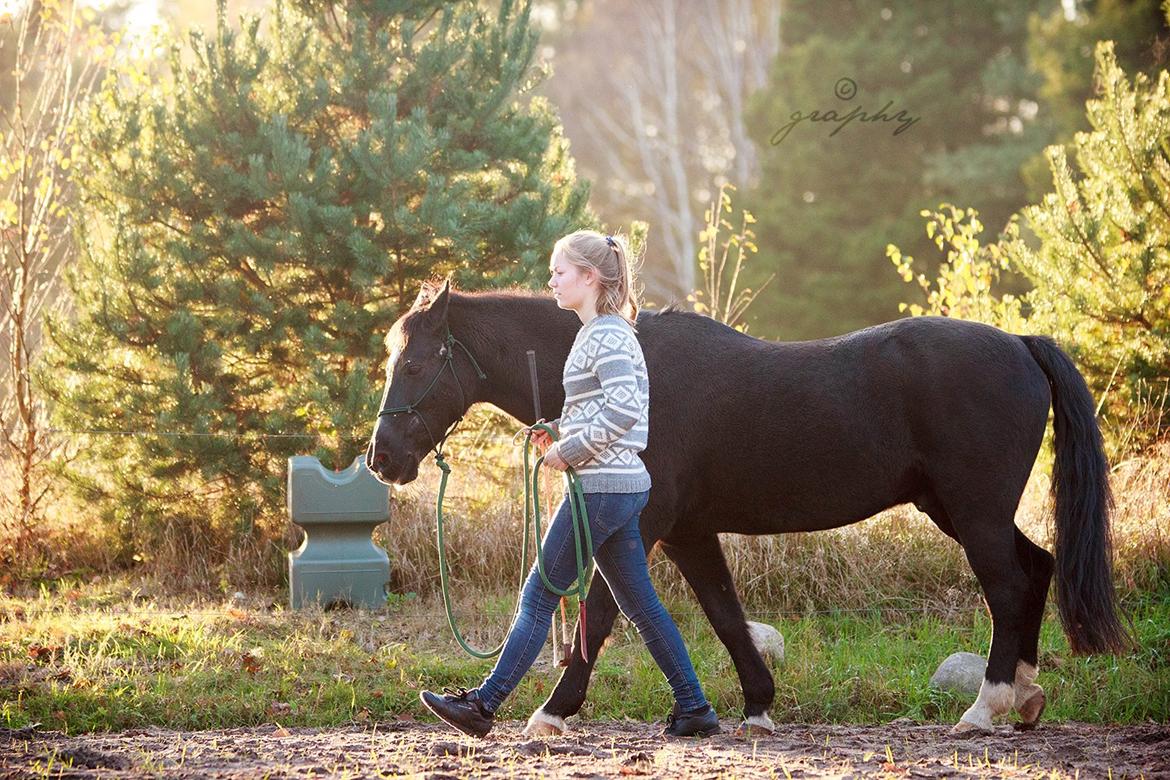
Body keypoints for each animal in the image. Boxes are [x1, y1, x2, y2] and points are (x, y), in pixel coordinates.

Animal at [369, 281, 1127, 739]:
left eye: (416, 365)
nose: (382, 458)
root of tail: (1021, 345)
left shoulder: (639, 525)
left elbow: (602, 615)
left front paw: (552, 713)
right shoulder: (687, 533)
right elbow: (725, 615)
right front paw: (756, 706)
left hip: (973, 514)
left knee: (1009, 587)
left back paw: (985, 706)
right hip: (961, 510)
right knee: (1037, 569)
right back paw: (1024, 698)